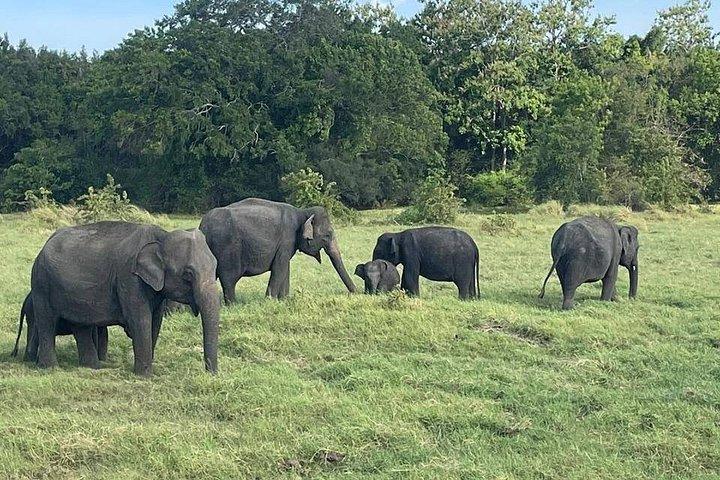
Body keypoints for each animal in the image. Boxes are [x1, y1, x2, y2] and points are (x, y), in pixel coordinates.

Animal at [29, 221, 220, 376]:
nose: (211, 373)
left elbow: (155, 321)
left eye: (215, 266)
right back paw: (51, 368)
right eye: (188, 274)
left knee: (80, 325)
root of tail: (44, 245)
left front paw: (148, 368)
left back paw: (92, 367)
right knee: (46, 322)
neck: (162, 236)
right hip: (41, 284)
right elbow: (140, 320)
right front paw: (144, 375)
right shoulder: (129, 279)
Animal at [199, 198, 356, 302]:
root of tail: (203, 227)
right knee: (229, 279)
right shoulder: (286, 239)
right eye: (328, 235)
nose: (354, 293)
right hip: (227, 249)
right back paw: (233, 305)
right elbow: (279, 267)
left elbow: (285, 267)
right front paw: (270, 301)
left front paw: (285, 300)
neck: (302, 212)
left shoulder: (288, 244)